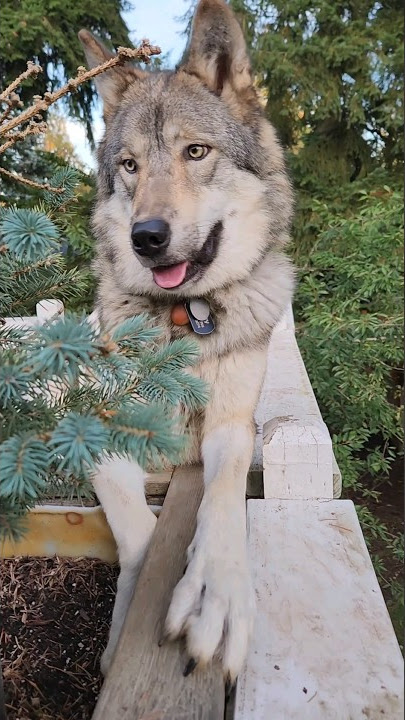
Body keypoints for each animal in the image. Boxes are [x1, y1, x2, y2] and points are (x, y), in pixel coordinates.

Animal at [79, 0, 294, 682]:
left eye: (195, 152)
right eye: (130, 166)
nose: (147, 237)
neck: (185, 322)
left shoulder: (230, 428)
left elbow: (220, 500)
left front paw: (213, 596)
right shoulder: (97, 435)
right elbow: (138, 535)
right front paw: (127, 626)